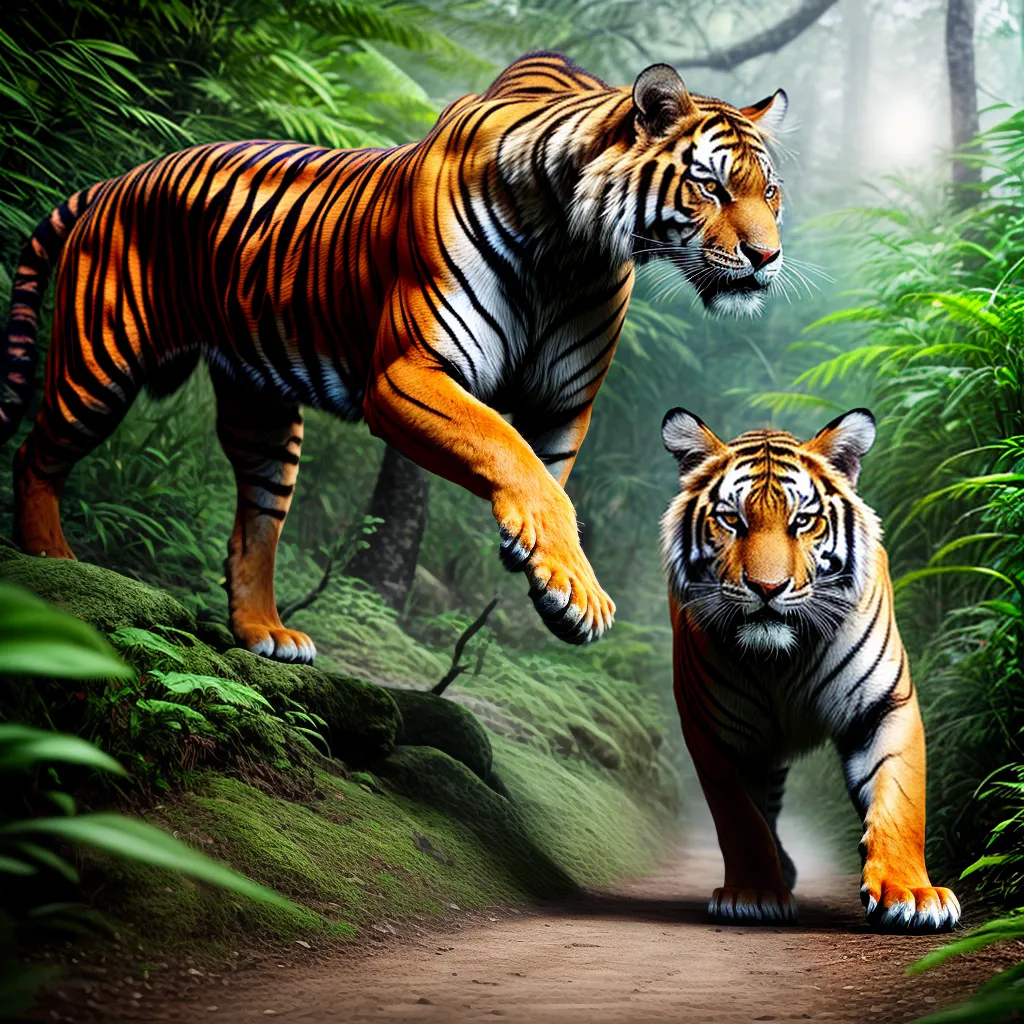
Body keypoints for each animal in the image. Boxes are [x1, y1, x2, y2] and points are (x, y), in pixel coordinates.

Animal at [2, 51, 789, 663]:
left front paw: (539, 571)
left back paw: (264, 632)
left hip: (261, 412)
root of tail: (114, 180)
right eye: (711, 185)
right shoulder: (406, 372)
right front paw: (571, 581)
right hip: (99, 362)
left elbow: (550, 473)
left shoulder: (565, 402)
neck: (573, 252)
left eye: (771, 191)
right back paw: (52, 562)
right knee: (35, 454)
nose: (767, 257)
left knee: (255, 522)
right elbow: (507, 451)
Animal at [660, 406, 960, 932]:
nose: (767, 588)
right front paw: (754, 893)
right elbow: (741, 818)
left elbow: (900, 802)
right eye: (731, 520)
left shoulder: (886, 705)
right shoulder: (711, 729)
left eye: (803, 521)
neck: (782, 658)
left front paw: (912, 894)